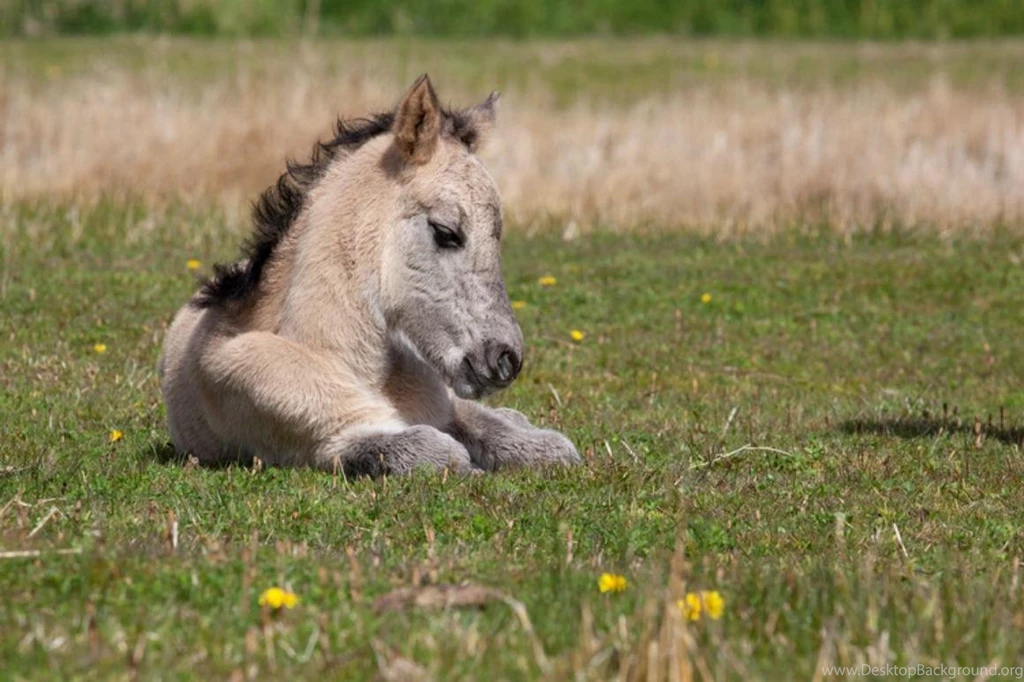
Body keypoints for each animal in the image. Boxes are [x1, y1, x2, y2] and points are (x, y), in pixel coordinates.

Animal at [158, 75, 581, 476]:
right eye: (446, 232)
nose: (506, 359)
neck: (331, 355)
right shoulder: (335, 441)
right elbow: (441, 452)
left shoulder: (447, 408)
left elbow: (536, 444)